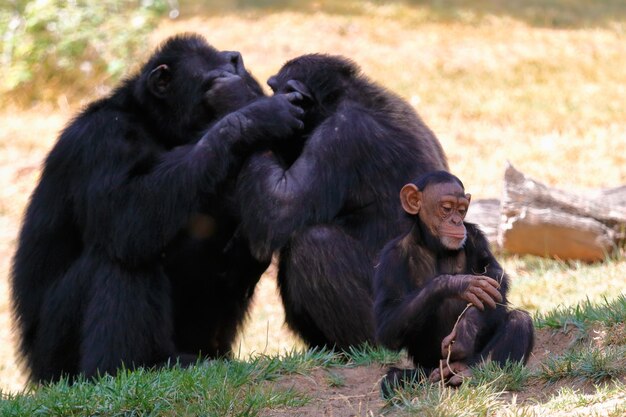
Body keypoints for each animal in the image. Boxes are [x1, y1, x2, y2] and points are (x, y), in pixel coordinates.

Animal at [9, 34, 302, 382]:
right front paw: (255, 117)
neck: (154, 125)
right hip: (56, 358)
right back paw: (129, 367)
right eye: (212, 84)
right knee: (123, 256)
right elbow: (128, 212)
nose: (236, 75)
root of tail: (35, 371)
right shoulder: (101, 141)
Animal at [235, 54, 448, 348]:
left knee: (315, 243)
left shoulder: (340, 136)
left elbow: (278, 210)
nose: (271, 97)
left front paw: (242, 101)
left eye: (274, 87)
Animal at [372, 169, 532, 394]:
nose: (456, 221)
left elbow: (494, 279)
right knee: (393, 379)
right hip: (428, 369)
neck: (434, 246)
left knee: (520, 320)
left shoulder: (474, 235)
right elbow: (387, 323)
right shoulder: (390, 259)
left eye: (462, 210)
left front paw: (465, 330)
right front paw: (458, 284)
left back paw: (470, 372)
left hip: (474, 360)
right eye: (446, 208)